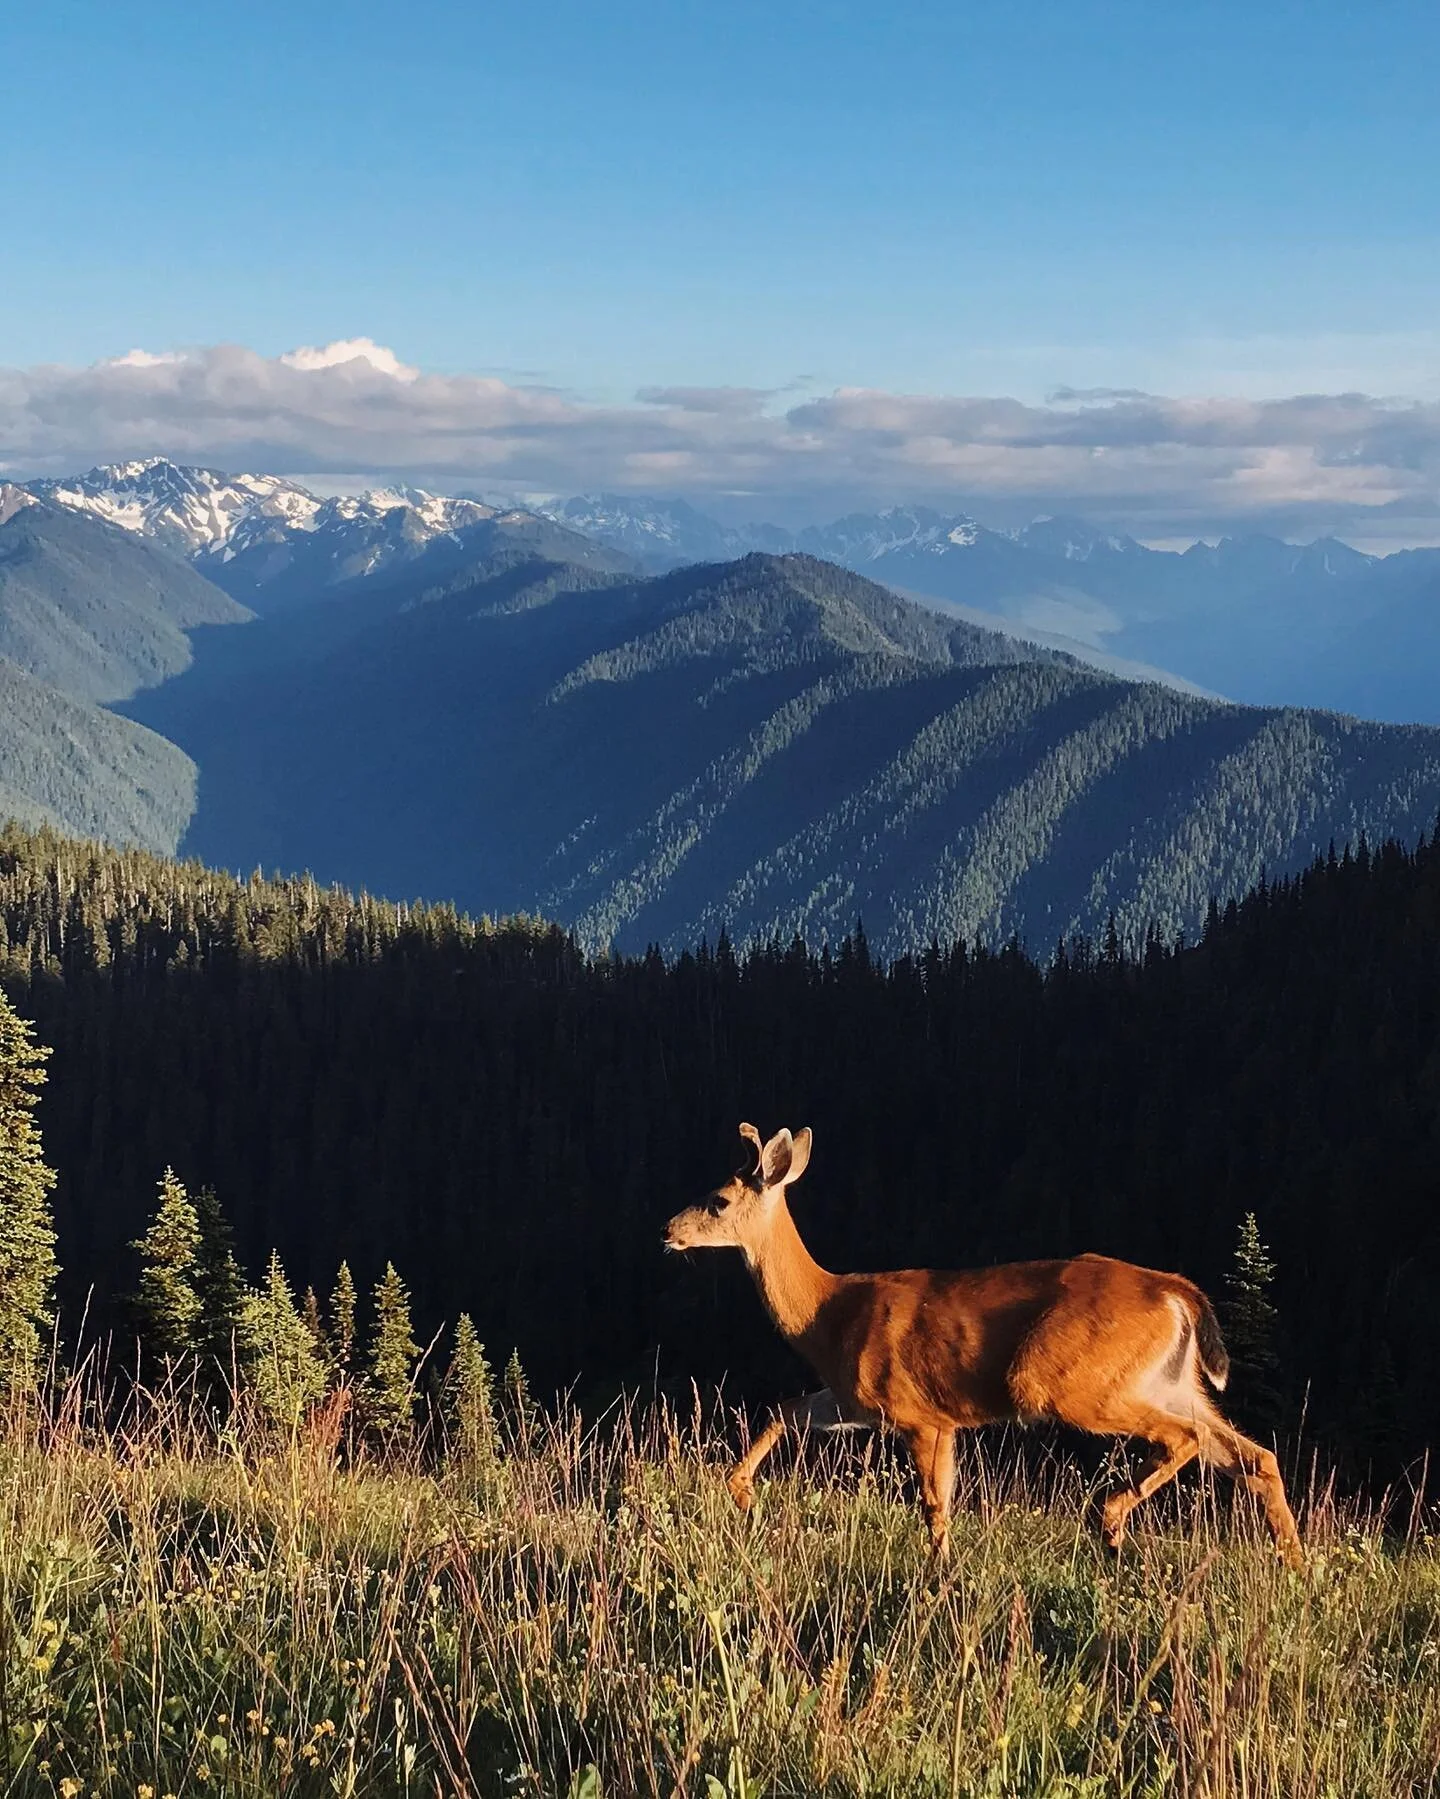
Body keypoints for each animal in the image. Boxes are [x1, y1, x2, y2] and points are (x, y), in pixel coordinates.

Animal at [664, 1123, 1303, 1567]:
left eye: (719, 1200)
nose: (668, 1230)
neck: (826, 1315)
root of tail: (1176, 1292)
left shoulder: (915, 1412)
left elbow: (934, 1507)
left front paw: (939, 1575)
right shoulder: (863, 1402)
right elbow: (789, 1408)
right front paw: (741, 1492)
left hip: (1068, 1380)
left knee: (1185, 1438)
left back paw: (1111, 1520)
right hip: (1171, 1380)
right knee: (1255, 1455)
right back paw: (1292, 1563)